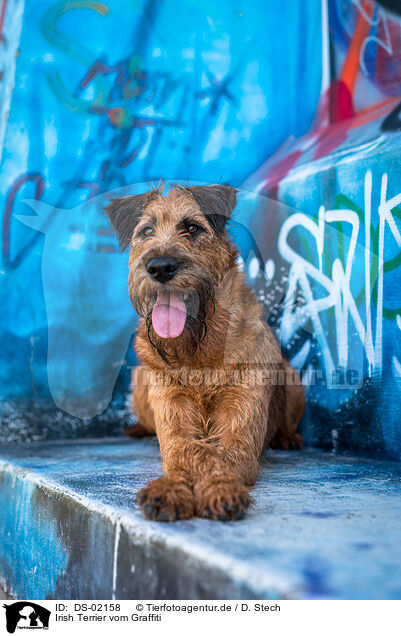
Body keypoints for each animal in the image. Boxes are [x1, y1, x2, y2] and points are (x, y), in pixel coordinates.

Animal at [106, 184, 304, 520]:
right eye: (147, 231)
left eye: (192, 228)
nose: (160, 267)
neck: (199, 355)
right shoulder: (172, 415)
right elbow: (188, 451)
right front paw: (170, 489)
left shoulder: (240, 423)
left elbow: (218, 456)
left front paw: (220, 488)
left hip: (292, 378)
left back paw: (288, 437)